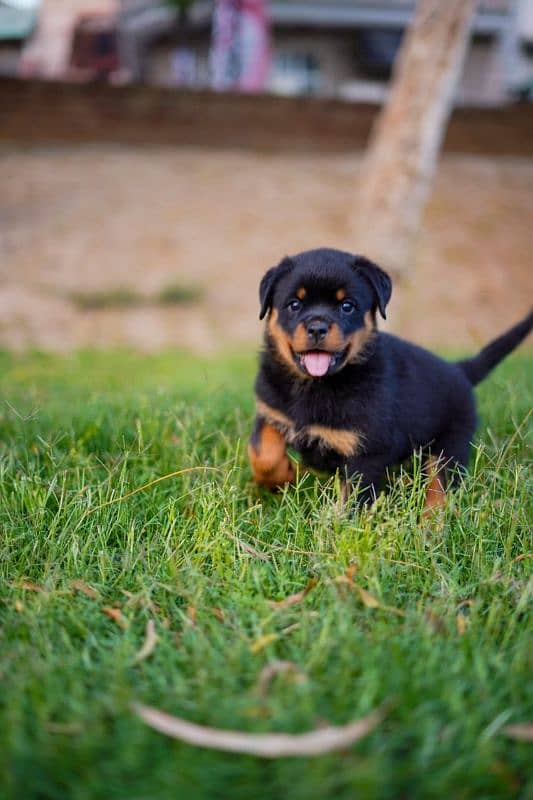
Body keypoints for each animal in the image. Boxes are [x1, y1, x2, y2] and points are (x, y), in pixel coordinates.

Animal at [249, 247, 532, 510]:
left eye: (347, 306)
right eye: (294, 304)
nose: (317, 328)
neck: (313, 385)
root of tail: (459, 370)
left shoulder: (368, 450)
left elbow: (355, 499)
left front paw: (338, 526)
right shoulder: (271, 412)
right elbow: (262, 453)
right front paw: (283, 477)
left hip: (450, 444)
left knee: (440, 487)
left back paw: (430, 523)